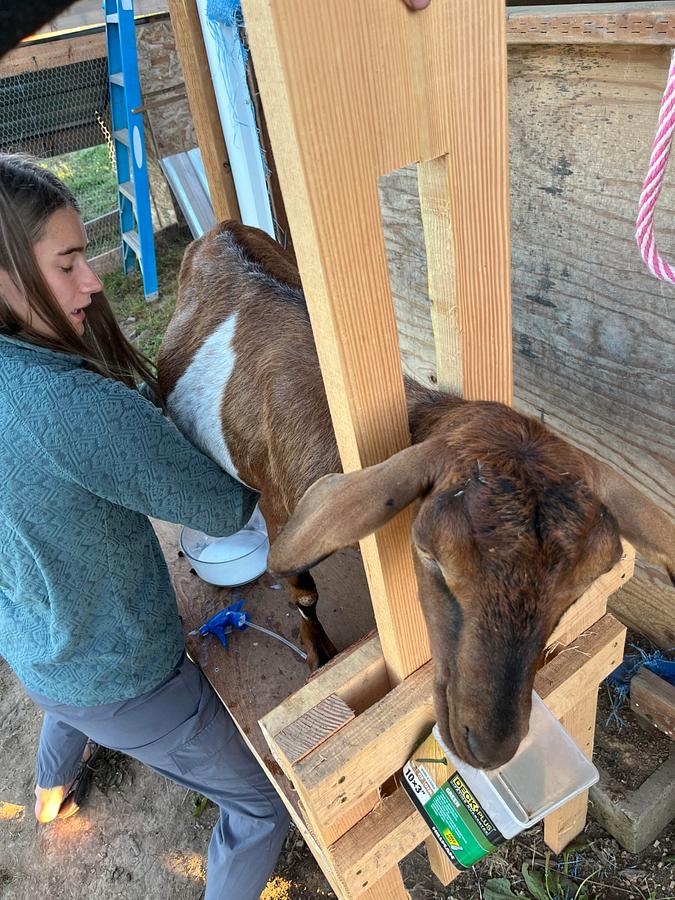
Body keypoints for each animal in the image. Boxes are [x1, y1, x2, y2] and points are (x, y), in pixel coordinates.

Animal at [156, 221, 672, 768]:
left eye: (580, 587)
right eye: (431, 557)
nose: (489, 746)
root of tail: (220, 230)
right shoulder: (277, 511)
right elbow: (303, 590)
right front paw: (318, 651)